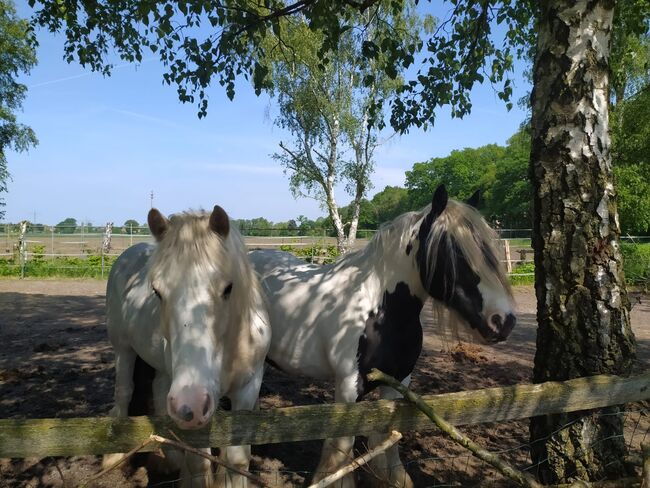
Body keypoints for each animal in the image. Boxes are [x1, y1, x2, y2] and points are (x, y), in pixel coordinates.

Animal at [105, 206, 270, 488]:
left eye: (228, 288)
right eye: (157, 291)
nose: (188, 403)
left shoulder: (248, 389)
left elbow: (237, 459)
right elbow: (199, 463)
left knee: (159, 391)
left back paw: (171, 459)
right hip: (123, 347)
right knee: (124, 392)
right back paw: (115, 456)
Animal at [248, 184, 516, 488]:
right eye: (454, 252)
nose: (504, 321)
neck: (380, 311)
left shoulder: (398, 383)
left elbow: (389, 441)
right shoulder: (348, 387)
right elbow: (341, 448)